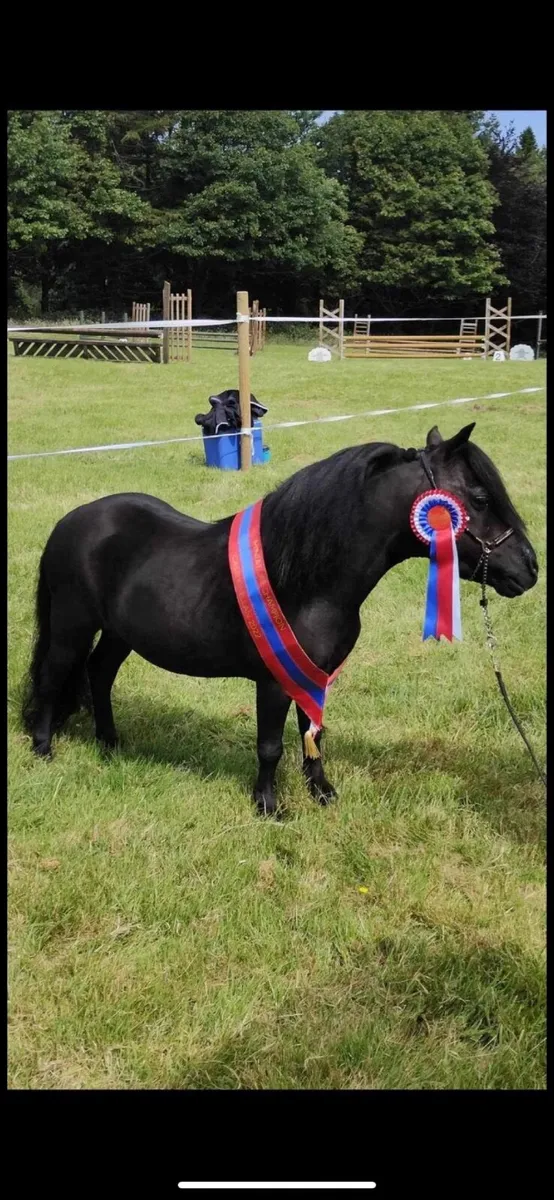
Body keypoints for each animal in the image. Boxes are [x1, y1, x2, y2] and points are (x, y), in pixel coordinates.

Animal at [22, 422, 538, 815]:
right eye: (479, 497)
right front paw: (269, 806)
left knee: (99, 674)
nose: (529, 568)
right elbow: (270, 744)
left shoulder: (315, 674)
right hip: (71, 625)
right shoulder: (272, 680)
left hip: (118, 633)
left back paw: (110, 744)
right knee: (53, 676)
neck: (307, 580)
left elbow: (314, 733)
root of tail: (72, 520)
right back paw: (43, 748)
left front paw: (322, 793)